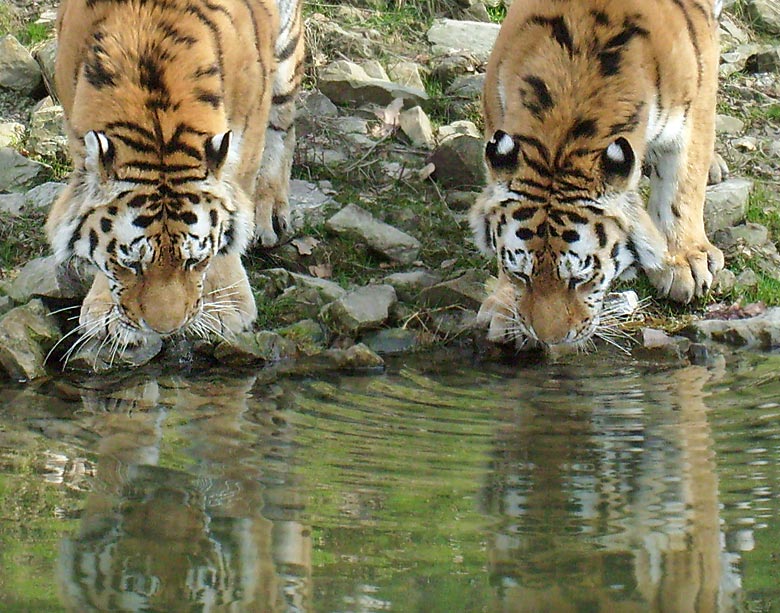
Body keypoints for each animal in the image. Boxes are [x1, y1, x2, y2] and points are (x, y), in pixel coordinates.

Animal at [44, 0, 304, 356]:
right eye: (130, 264)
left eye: (195, 261)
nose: (166, 329)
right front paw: (104, 310)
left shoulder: (249, 123)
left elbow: (235, 201)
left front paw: (227, 306)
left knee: (284, 120)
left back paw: (272, 214)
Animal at [470, 0, 724, 350]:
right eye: (520, 274)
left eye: (580, 279)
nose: (550, 339)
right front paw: (504, 308)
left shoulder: (695, 100)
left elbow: (682, 184)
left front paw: (682, 261)